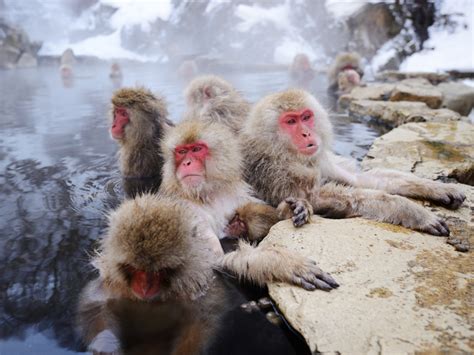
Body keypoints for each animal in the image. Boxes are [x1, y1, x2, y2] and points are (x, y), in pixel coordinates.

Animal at [78, 196, 312, 354]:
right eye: (136, 269)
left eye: (159, 271)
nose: (144, 287)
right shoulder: (114, 286)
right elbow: (92, 305)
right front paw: (105, 342)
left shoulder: (198, 288)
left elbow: (201, 320)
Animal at [159, 119, 336, 292]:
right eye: (181, 152)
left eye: (196, 149)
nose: (187, 163)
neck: (208, 194)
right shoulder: (188, 210)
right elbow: (213, 261)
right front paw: (279, 262)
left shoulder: (239, 194)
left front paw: (293, 208)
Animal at [239, 89, 464, 236]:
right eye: (290, 121)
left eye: (306, 117)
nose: (306, 133)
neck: (281, 151)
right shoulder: (274, 171)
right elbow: (318, 198)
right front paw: (412, 212)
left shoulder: (321, 159)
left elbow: (359, 179)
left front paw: (438, 188)